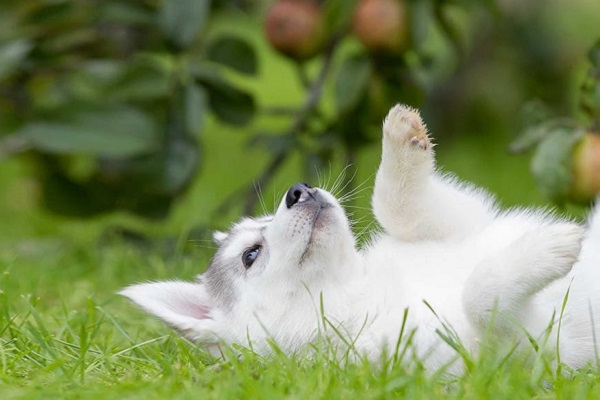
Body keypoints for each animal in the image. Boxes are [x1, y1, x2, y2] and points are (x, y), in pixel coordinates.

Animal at [120, 104, 600, 370]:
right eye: (250, 256)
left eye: (266, 219)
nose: (299, 190)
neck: (360, 288)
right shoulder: (524, 352)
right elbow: (479, 295)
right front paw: (552, 245)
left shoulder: (467, 218)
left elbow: (396, 206)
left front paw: (402, 139)